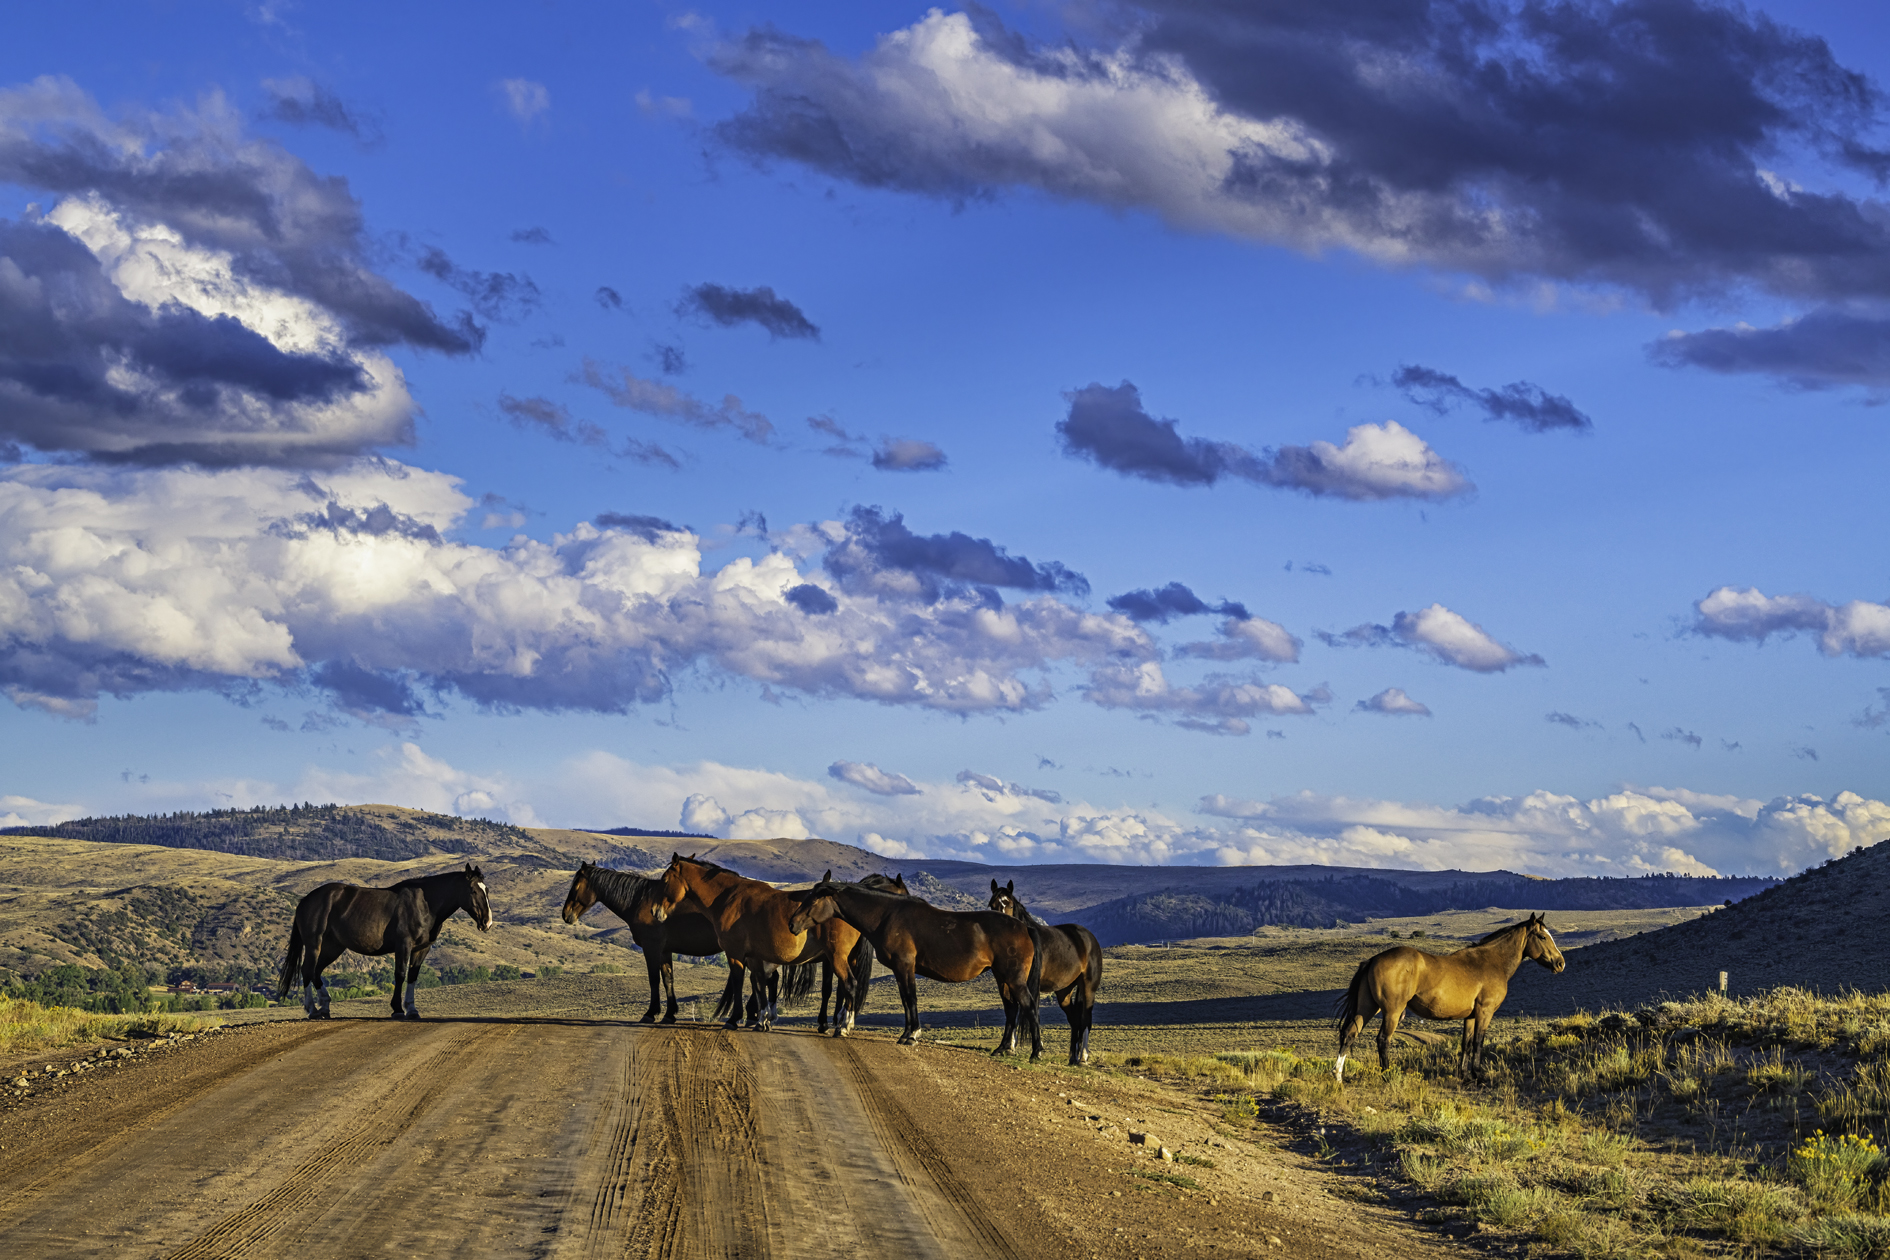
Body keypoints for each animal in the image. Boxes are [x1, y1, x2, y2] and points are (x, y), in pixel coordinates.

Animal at [275, 861, 495, 1020]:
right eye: (473, 891)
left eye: (487, 890)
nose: (487, 922)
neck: (425, 904)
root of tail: (305, 900)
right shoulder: (403, 945)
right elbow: (400, 974)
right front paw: (397, 1009)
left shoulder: (421, 949)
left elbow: (413, 976)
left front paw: (412, 1010)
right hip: (314, 944)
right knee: (307, 970)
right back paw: (312, 1010)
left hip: (333, 947)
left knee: (316, 971)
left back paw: (325, 1007)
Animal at [653, 853, 854, 1027]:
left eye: (665, 880)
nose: (655, 911)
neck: (729, 898)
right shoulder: (754, 957)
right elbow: (759, 983)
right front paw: (762, 1019)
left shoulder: (735, 953)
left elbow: (739, 982)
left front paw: (735, 1019)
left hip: (836, 957)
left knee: (849, 984)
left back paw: (842, 1025)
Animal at [786, 876, 1050, 1065]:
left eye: (814, 900)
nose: (792, 924)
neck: (887, 915)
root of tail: (1024, 927)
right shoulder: (900, 969)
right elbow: (905, 1000)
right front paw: (906, 1034)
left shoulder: (905, 966)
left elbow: (910, 998)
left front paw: (912, 1035)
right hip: (1002, 978)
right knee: (1011, 1008)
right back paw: (1003, 1049)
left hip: (1014, 979)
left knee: (1029, 1006)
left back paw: (1036, 1052)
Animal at [990, 876, 1103, 1065]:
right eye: (991, 905)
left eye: (1010, 905)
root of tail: (1089, 938)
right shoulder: (1008, 982)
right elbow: (1013, 1011)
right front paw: (1009, 1048)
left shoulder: (1029, 984)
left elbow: (1030, 1010)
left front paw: (1036, 1050)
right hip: (1064, 991)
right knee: (1074, 1020)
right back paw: (1072, 1058)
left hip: (1088, 987)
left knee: (1086, 1019)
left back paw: (1083, 1058)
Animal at [1338, 918, 1572, 1088]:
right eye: (1542, 936)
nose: (1561, 963)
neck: (1492, 962)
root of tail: (1374, 959)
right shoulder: (1485, 1012)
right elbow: (1478, 1042)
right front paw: (1479, 1076)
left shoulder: (1470, 1016)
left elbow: (1466, 1044)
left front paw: (1465, 1076)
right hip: (1392, 1012)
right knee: (1382, 1040)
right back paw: (1387, 1076)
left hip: (1367, 1008)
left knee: (1350, 1034)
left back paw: (1337, 1076)